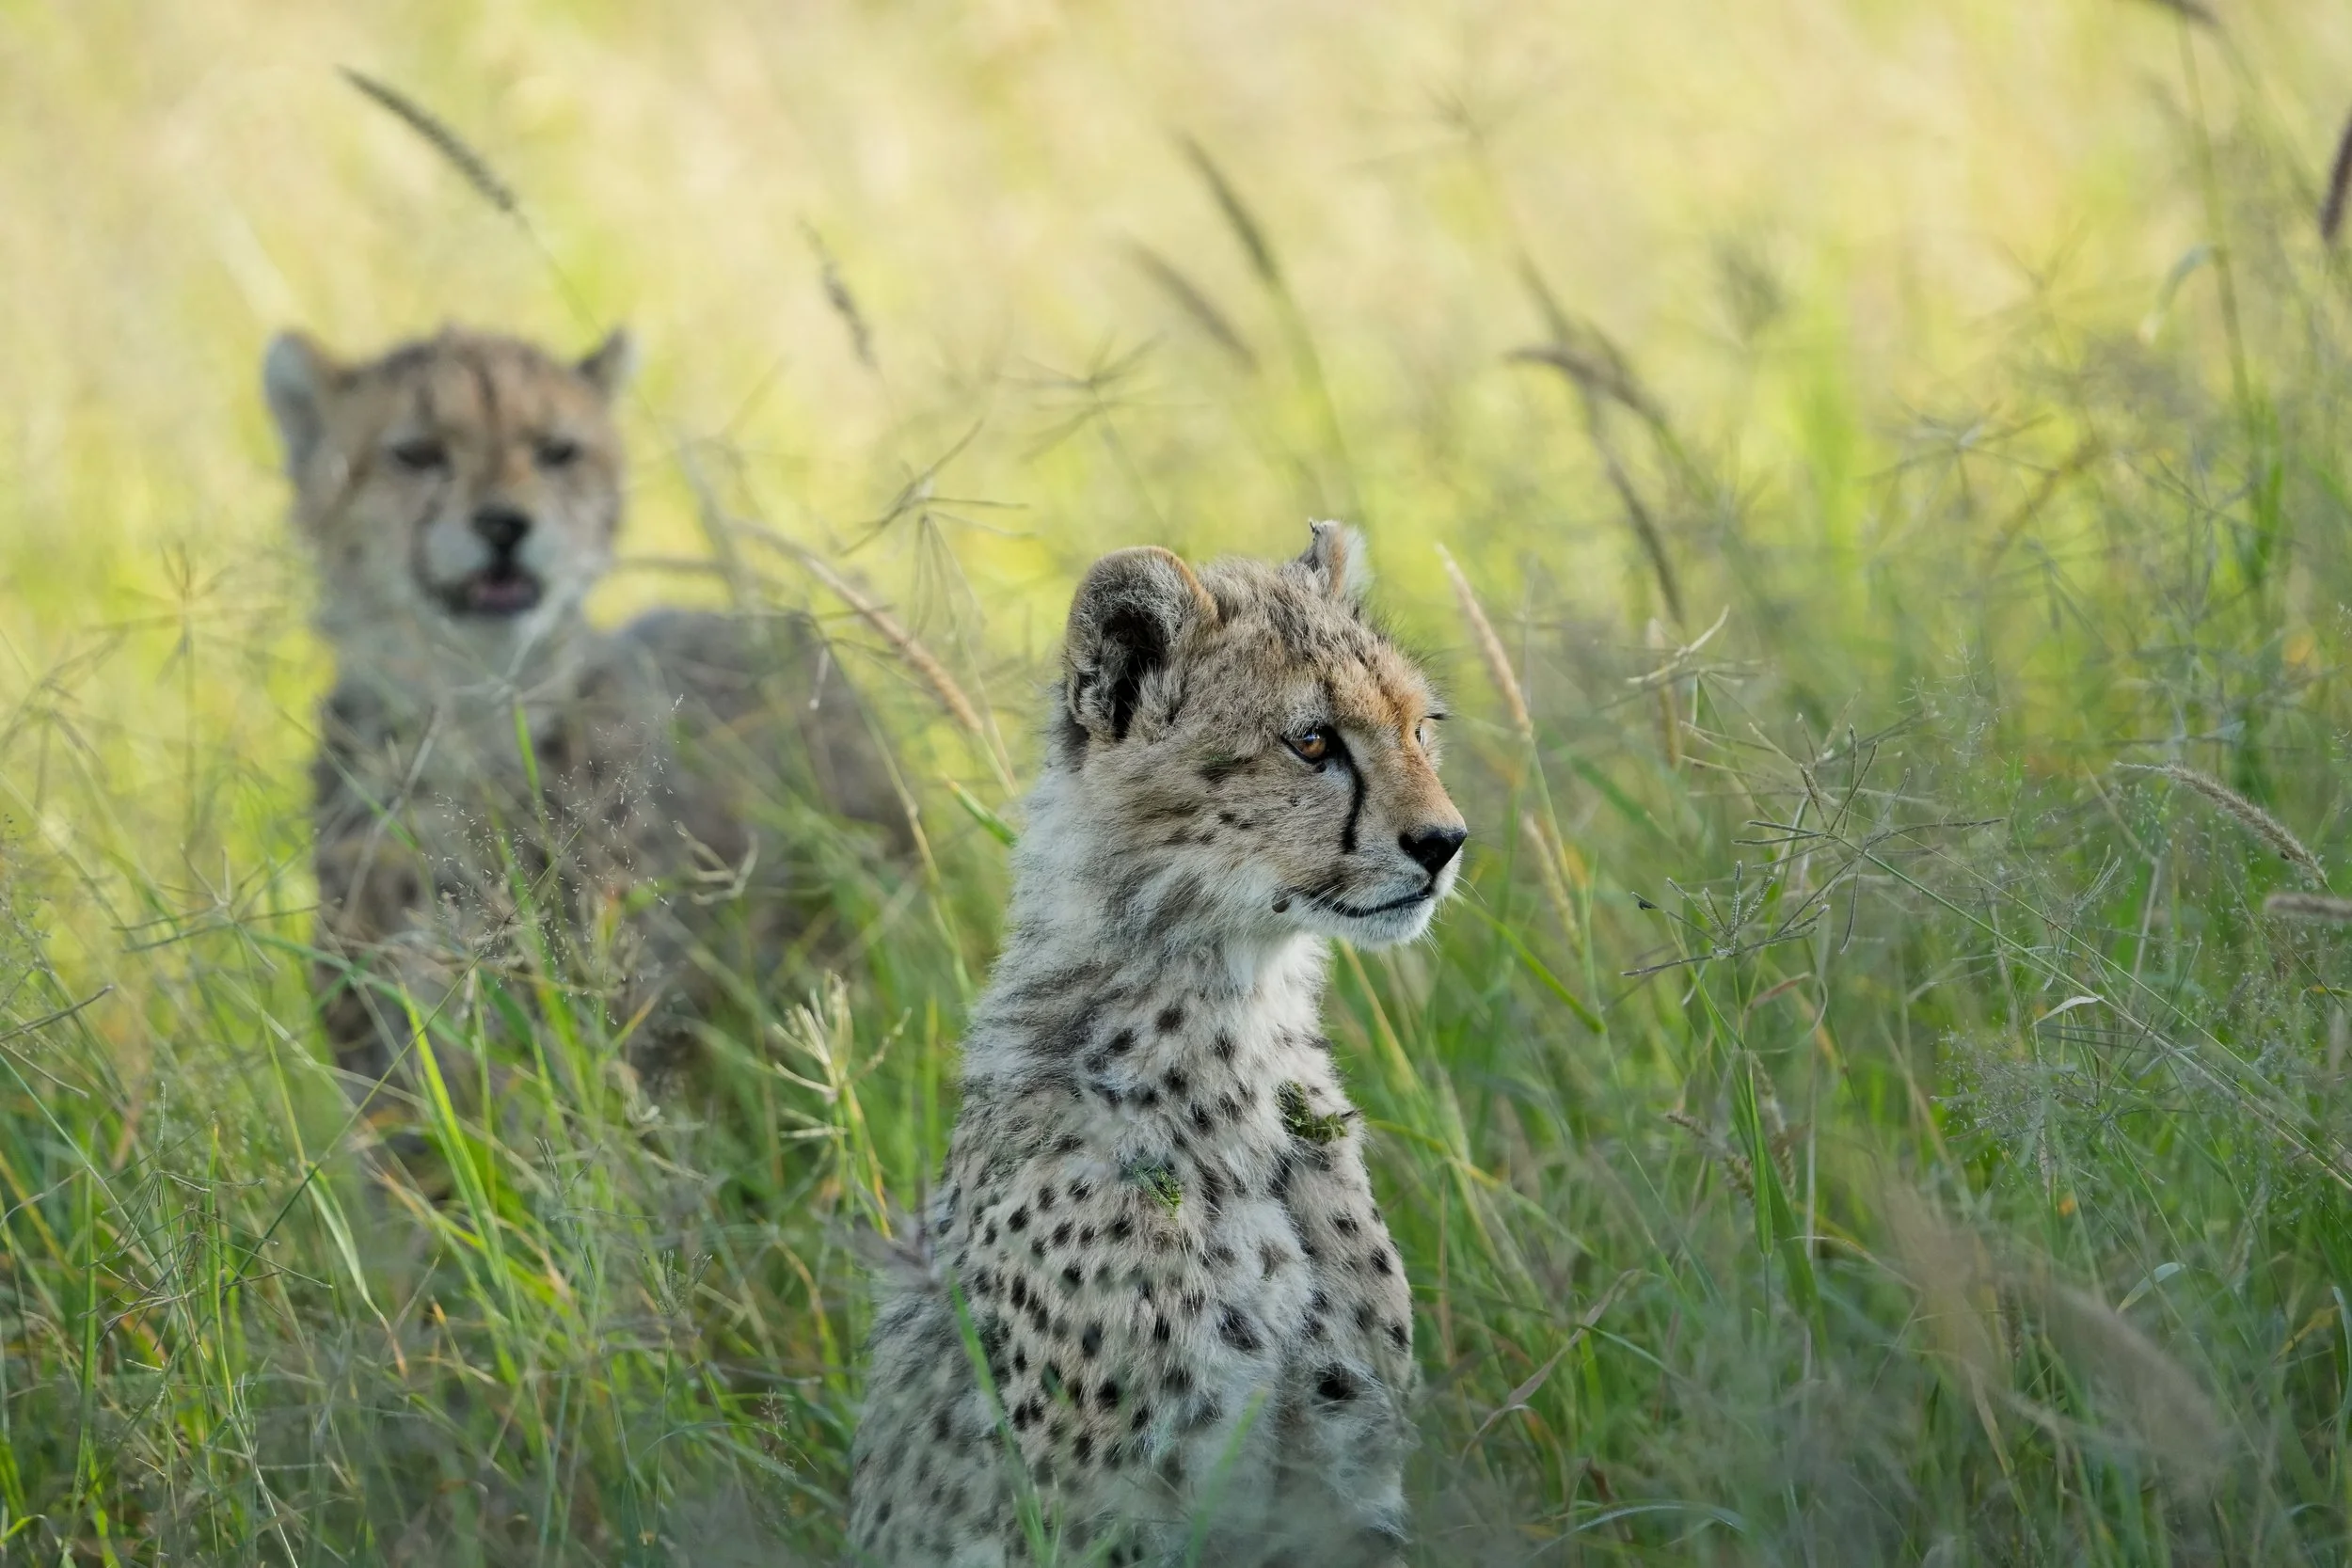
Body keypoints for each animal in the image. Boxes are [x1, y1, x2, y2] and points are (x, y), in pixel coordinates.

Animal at [263, 324, 903, 1132]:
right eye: (417, 453)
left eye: (556, 451)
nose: (503, 524)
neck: (472, 721)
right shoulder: (390, 1077)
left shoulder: (625, 1044)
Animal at [849, 522, 1468, 1566]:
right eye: (1312, 740)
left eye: (1419, 727)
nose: (1444, 841)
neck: (1235, 1036)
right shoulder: (1095, 1514)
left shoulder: (1349, 1477)